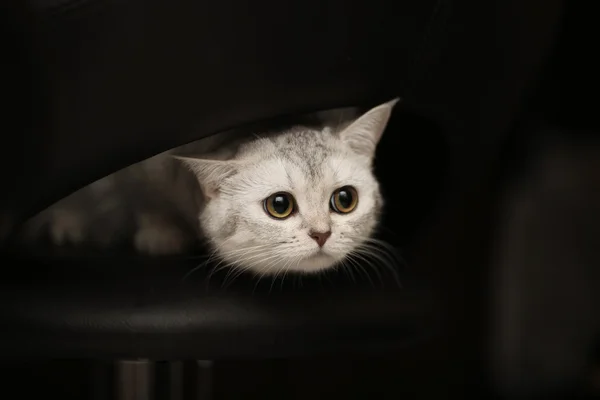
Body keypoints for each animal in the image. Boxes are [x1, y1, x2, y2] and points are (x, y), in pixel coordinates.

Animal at [19, 98, 398, 276]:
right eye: (280, 205)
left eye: (345, 199)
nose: (322, 234)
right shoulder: (144, 166)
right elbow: (145, 198)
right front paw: (160, 232)